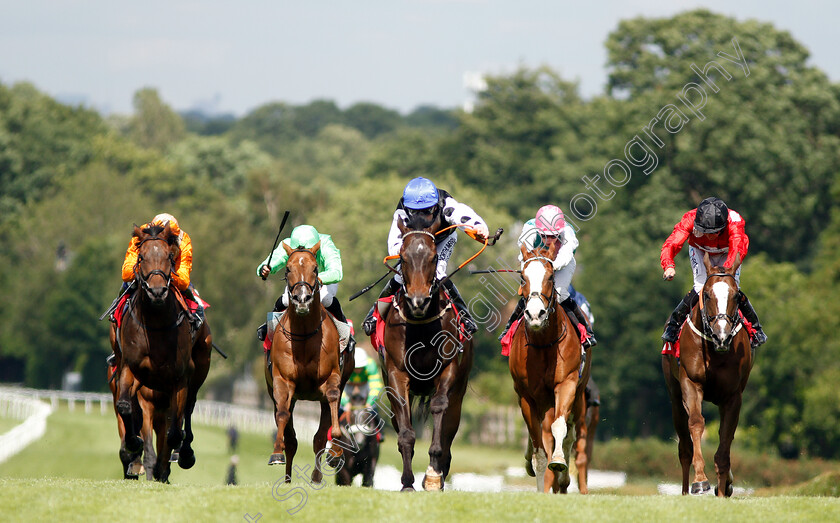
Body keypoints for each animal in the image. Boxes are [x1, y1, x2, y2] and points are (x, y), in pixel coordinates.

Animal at [114, 224, 213, 484]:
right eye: (140, 257)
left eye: (169, 257)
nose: (157, 291)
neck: (156, 324)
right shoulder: (130, 369)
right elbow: (125, 406)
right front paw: (134, 443)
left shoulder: (179, 379)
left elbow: (174, 431)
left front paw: (167, 463)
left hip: (199, 368)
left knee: (187, 410)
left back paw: (183, 454)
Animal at [264, 244, 352, 486]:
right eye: (287, 269)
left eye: (315, 268)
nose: (302, 298)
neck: (303, 335)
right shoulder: (282, 382)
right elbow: (283, 416)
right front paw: (276, 453)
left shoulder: (332, 378)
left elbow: (332, 401)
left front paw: (337, 449)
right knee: (291, 436)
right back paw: (287, 478)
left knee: (320, 436)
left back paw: (316, 476)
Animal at [380, 215, 472, 494]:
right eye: (403, 257)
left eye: (433, 257)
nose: (418, 301)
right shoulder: (396, 374)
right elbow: (405, 433)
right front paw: (407, 482)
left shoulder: (449, 368)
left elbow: (439, 408)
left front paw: (433, 474)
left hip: (459, 392)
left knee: (449, 428)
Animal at [506, 244, 592, 494]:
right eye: (522, 277)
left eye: (551, 277)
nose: (535, 314)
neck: (543, 344)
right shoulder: (526, 396)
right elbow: (538, 449)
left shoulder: (567, 384)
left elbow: (559, 427)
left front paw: (559, 463)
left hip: (578, 398)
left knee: (571, 431)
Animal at [664, 254, 756, 500]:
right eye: (706, 294)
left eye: (736, 296)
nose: (721, 335)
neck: (715, 350)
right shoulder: (690, 384)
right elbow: (696, 423)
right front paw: (700, 480)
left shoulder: (733, 396)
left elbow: (725, 438)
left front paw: (724, 488)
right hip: (674, 397)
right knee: (684, 447)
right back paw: (685, 490)